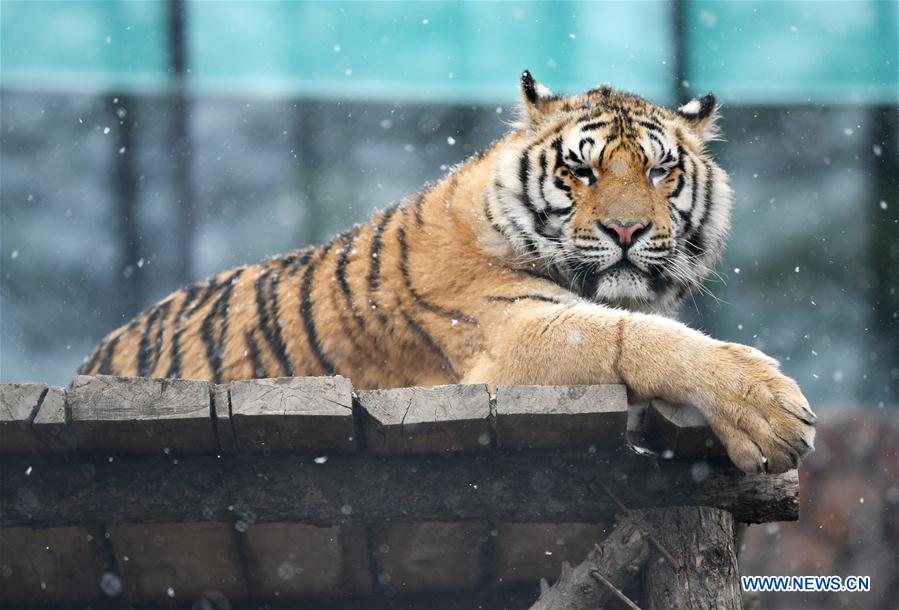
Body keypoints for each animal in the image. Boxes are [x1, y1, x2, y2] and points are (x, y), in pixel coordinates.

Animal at [79, 71, 816, 474]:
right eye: (580, 171)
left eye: (662, 172)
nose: (627, 231)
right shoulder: (506, 338)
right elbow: (632, 337)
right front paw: (772, 412)